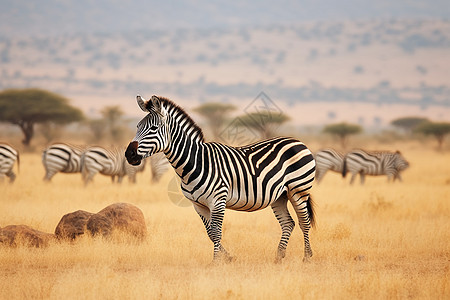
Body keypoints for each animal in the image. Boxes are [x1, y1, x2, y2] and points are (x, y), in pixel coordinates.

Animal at [123, 95, 316, 262]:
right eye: (137, 127)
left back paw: (307, 257)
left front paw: (216, 262)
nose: (129, 154)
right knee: (288, 223)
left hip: (299, 190)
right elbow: (210, 233)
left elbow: (216, 232)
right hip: (279, 196)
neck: (195, 162)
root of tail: (297, 141)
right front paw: (228, 257)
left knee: (304, 222)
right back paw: (279, 257)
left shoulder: (218, 200)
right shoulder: (198, 205)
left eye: (153, 129)